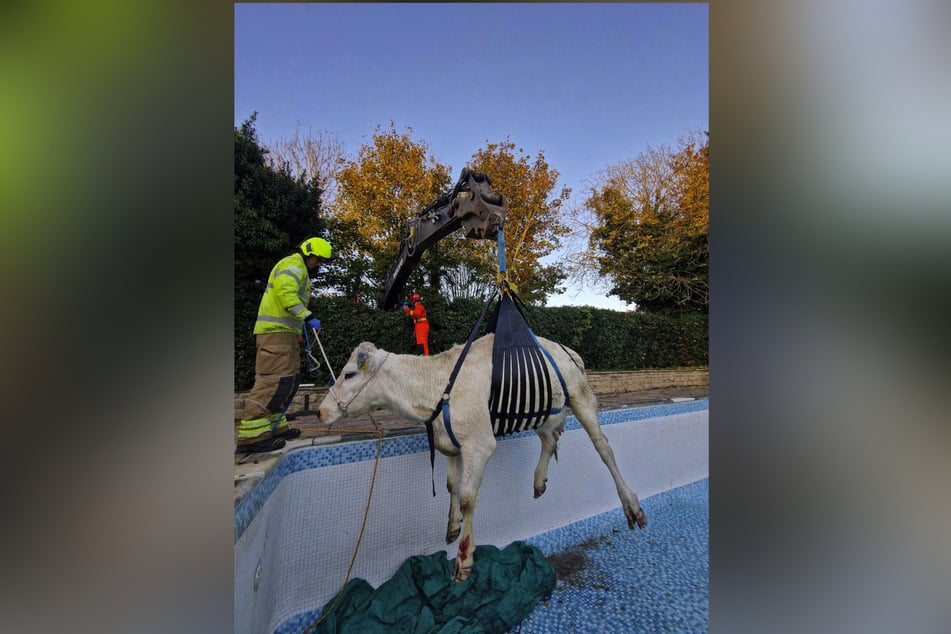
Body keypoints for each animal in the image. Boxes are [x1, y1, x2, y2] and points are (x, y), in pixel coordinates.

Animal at [318, 334, 648, 580]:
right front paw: (452, 527)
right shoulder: (450, 444)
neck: (434, 389)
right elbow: (451, 486)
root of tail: (566, 349)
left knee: (603, 447)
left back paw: (632, 506)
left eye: (348, 374)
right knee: (549, 438)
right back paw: (539, 480)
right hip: (540, 409)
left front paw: (464, 558)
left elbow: (467, 497)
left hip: (580, 396)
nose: (321, 411)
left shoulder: (480, 444)